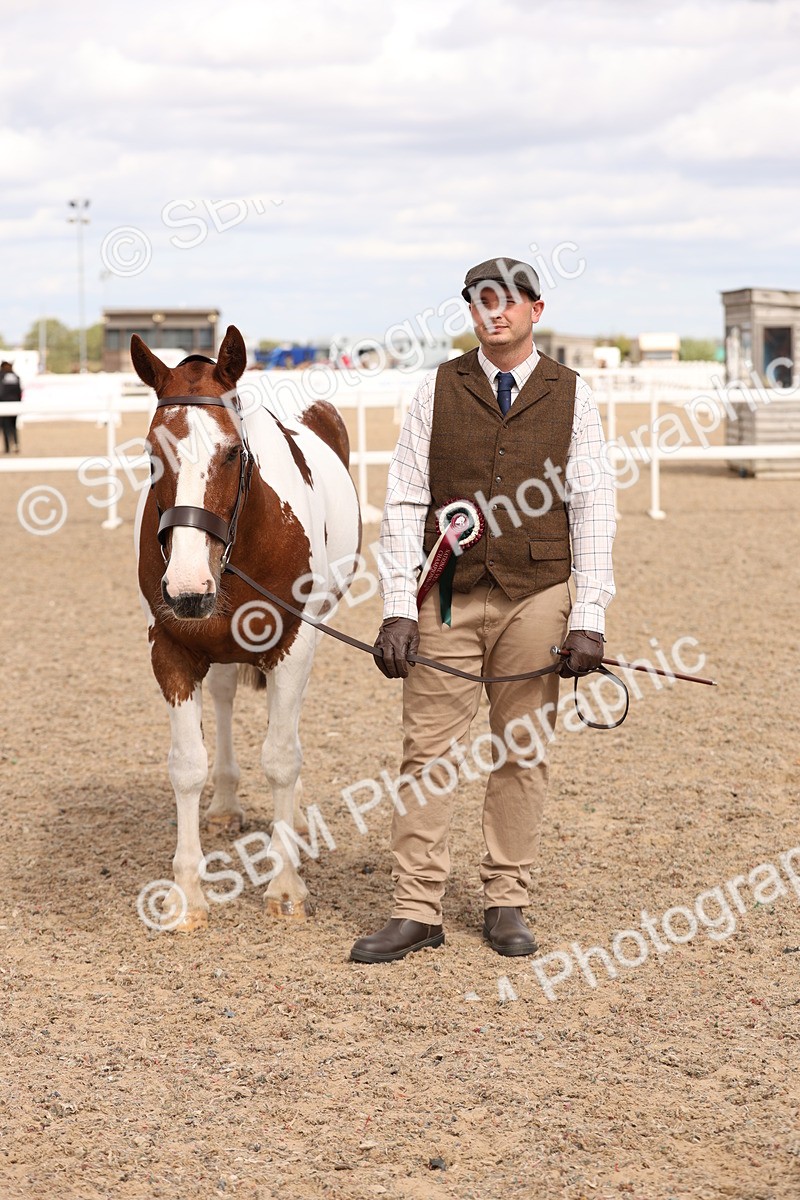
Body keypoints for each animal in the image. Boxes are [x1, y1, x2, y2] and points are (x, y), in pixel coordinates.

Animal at [132, 326, 361, 931]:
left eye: (233, 451)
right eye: (151, 455)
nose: (188, 588)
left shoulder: (295, 643)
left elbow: (281, 757)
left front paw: (286, 886)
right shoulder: (170, 648)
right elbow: (187, 765)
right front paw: (186, 895)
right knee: (225, 695)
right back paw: (226, 805)